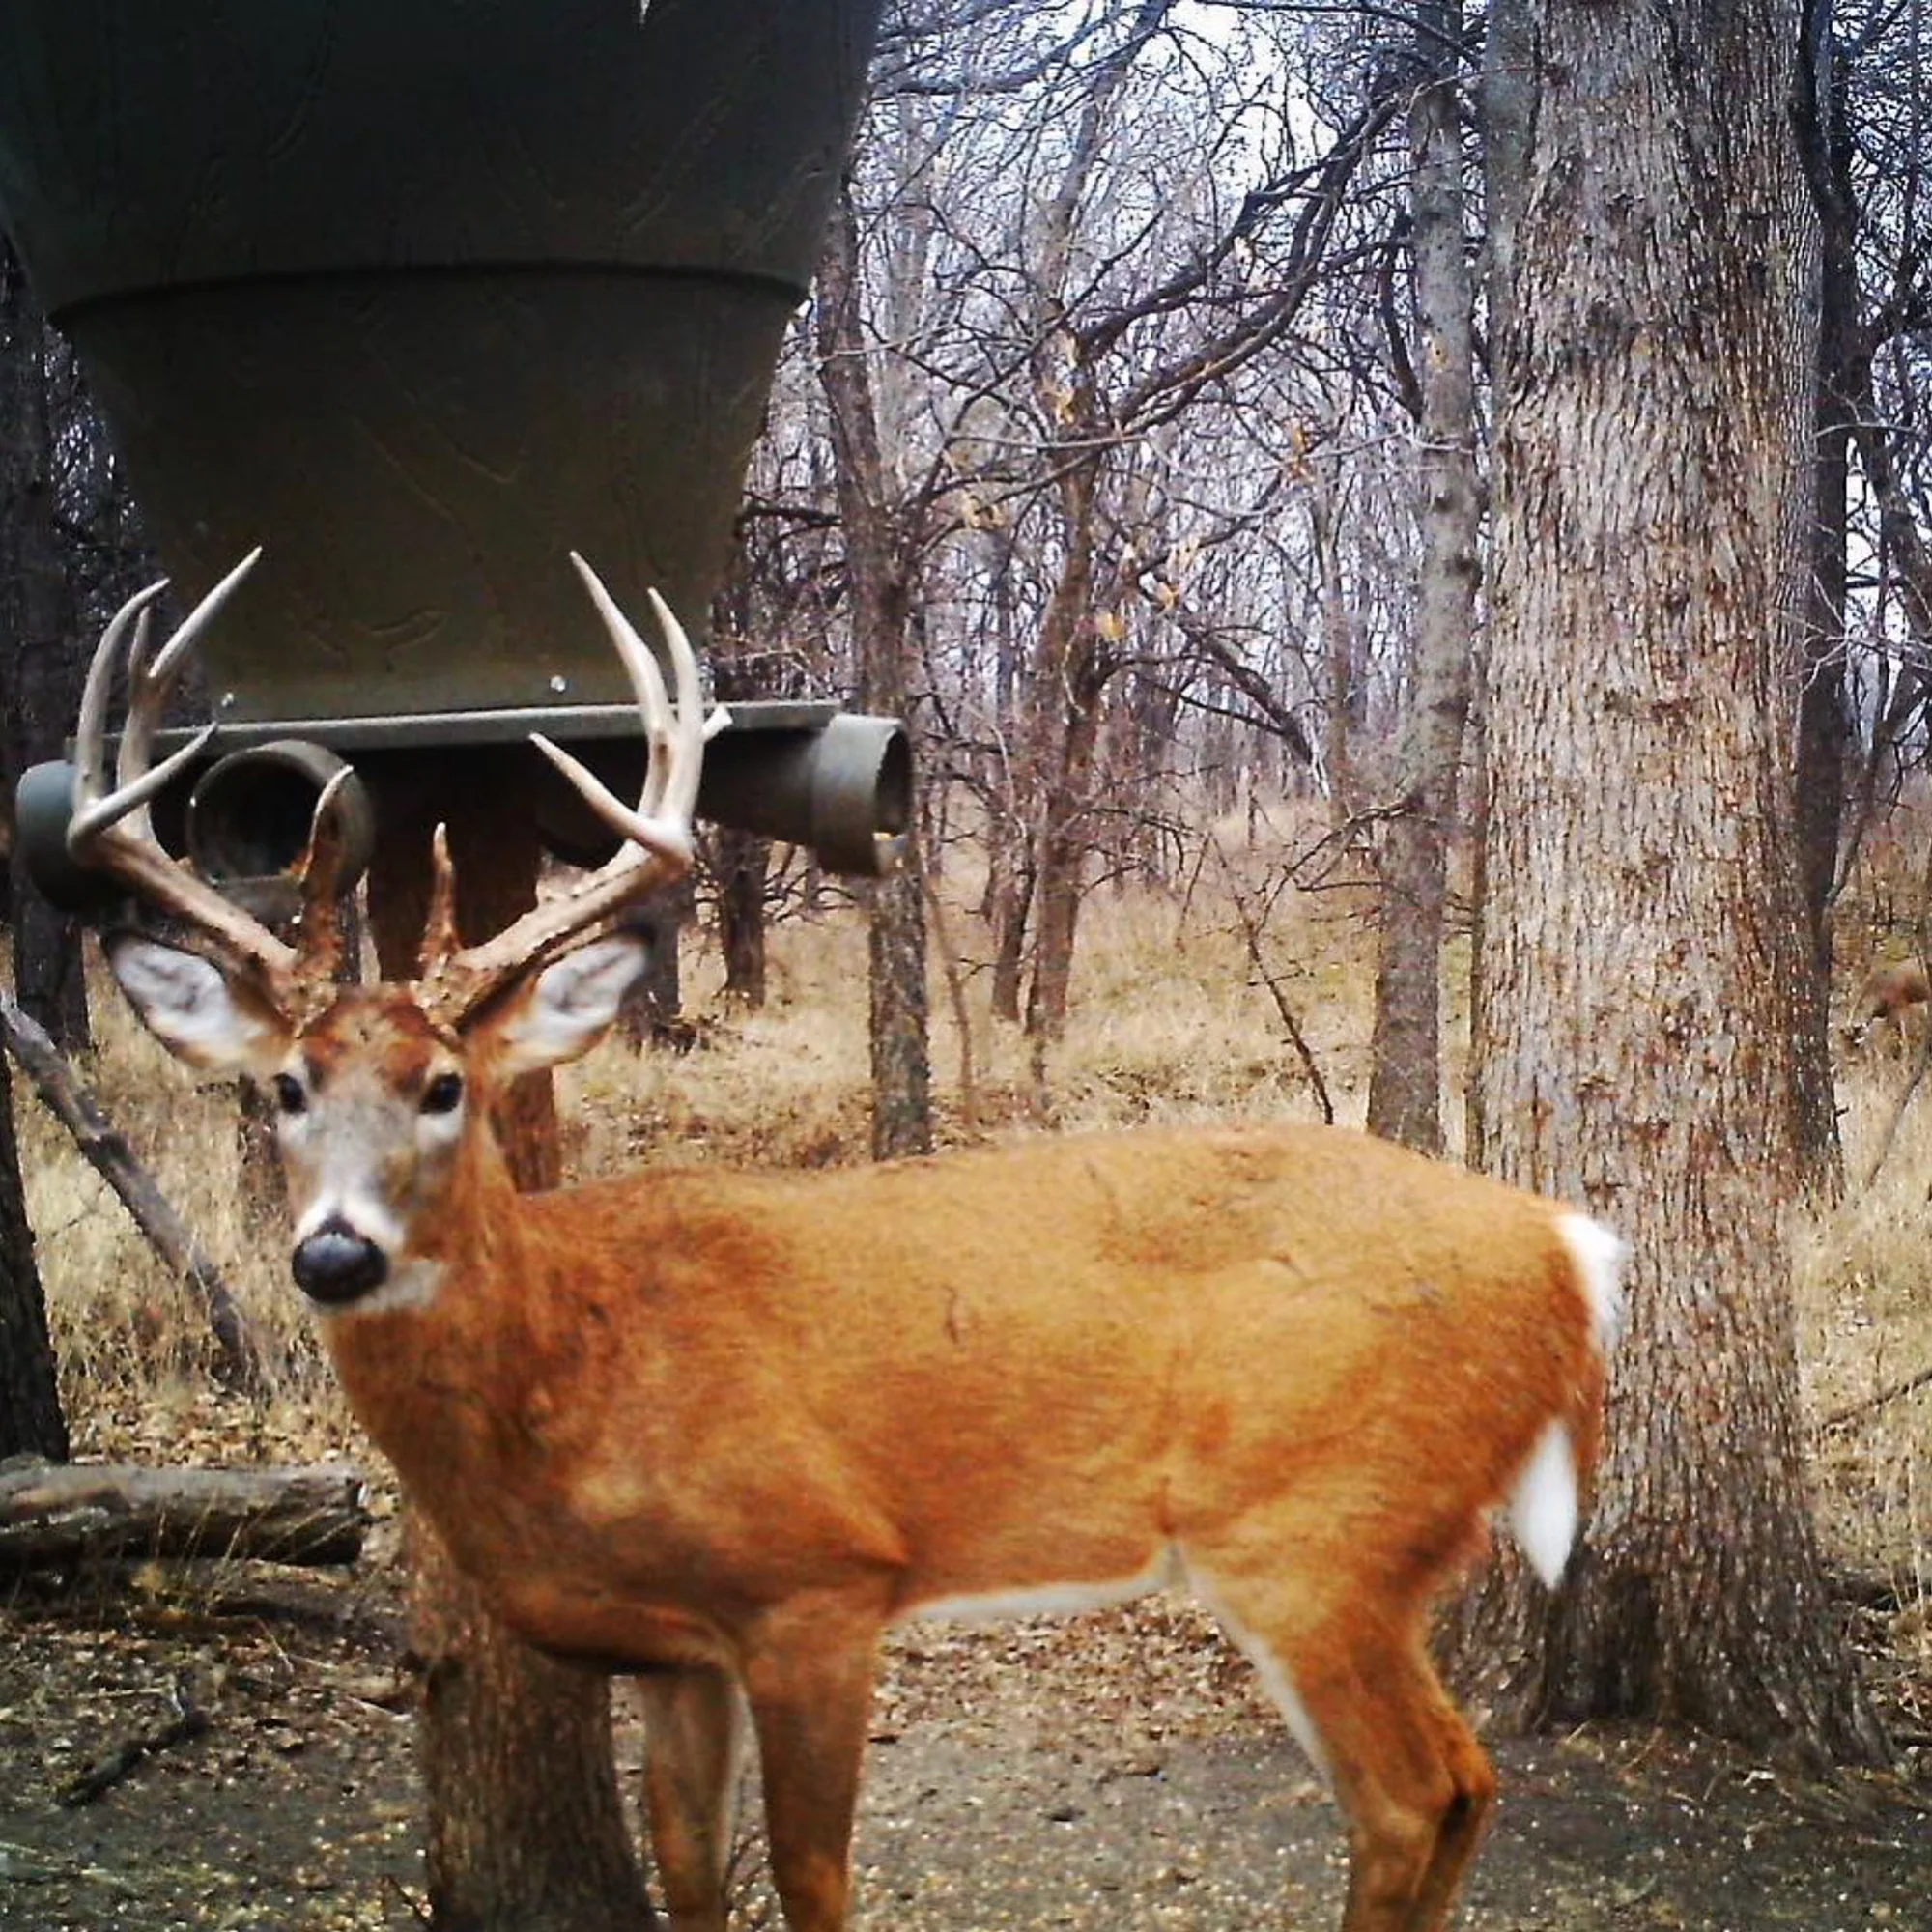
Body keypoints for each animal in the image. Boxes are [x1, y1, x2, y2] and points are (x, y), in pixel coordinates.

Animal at [67, 552, 1625, 1932]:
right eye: (285, 1086)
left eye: (444, 1085)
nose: (333, 1255)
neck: (580, 1363)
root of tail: (1564, 1248)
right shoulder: (673, 1652)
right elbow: (692, 1873)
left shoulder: (817, 1583)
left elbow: (814, 1877)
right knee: (1465, 1785)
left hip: (1316, 1527)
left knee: (1413, 1797)